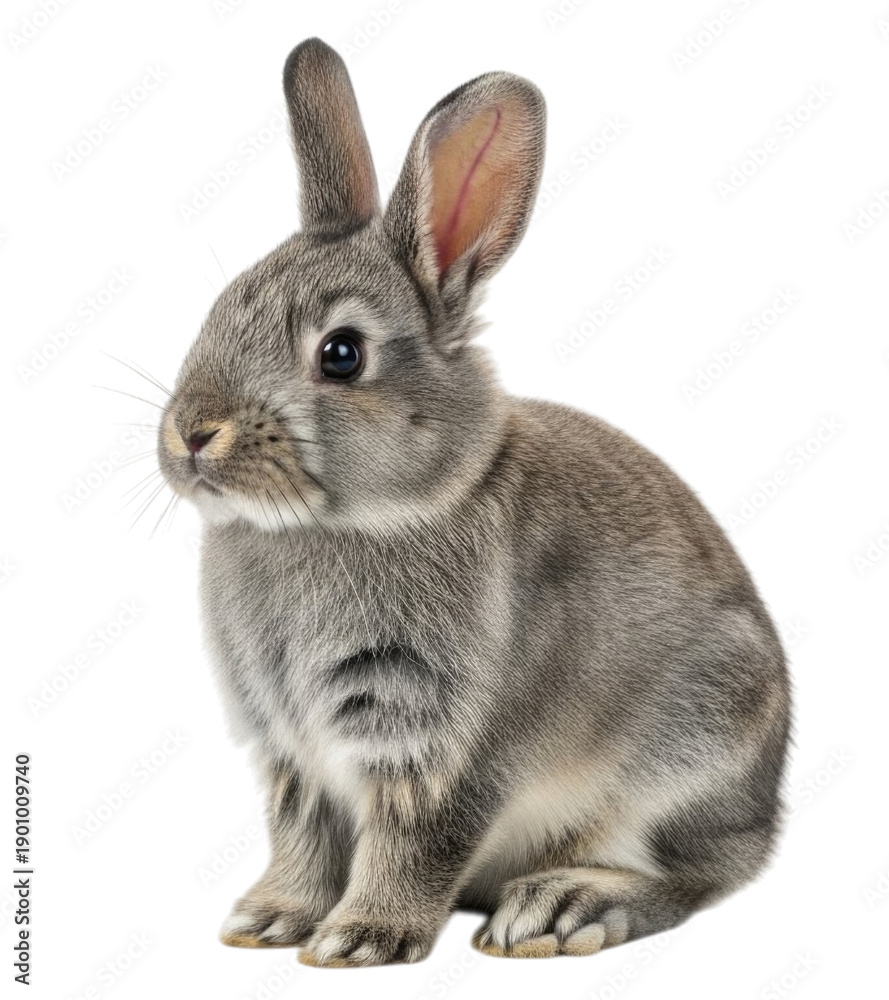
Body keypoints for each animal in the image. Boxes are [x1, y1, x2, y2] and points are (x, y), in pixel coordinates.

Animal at [157, 37, 791, 966]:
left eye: (341, 354)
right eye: (220, 309)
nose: (192, 434)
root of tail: (766, 808)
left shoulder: (443, 744)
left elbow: (416, 840)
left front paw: (361, 939)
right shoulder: (293, 750)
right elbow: (301, 836)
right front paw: (270, 920)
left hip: (689, 755)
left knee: (692, 878)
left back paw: (561, 908)